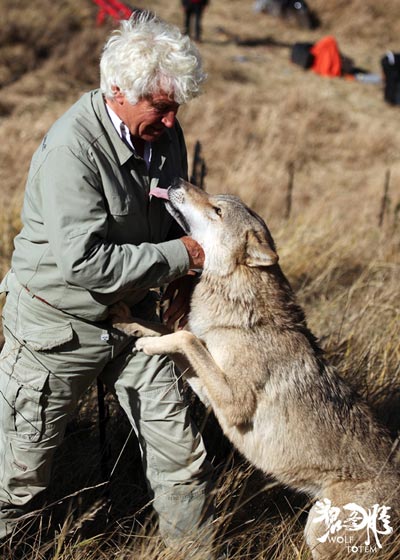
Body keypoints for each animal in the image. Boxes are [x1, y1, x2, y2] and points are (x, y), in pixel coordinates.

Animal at [111, 180, 398, 560]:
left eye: (217, 210)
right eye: (214, 198)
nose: (174, 182)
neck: (238, 306)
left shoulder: (234, 404)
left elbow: (185, 337)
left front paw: (147, 344)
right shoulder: (212, 389)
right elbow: (169, 330)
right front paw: (126, 320)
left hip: (318, 533)